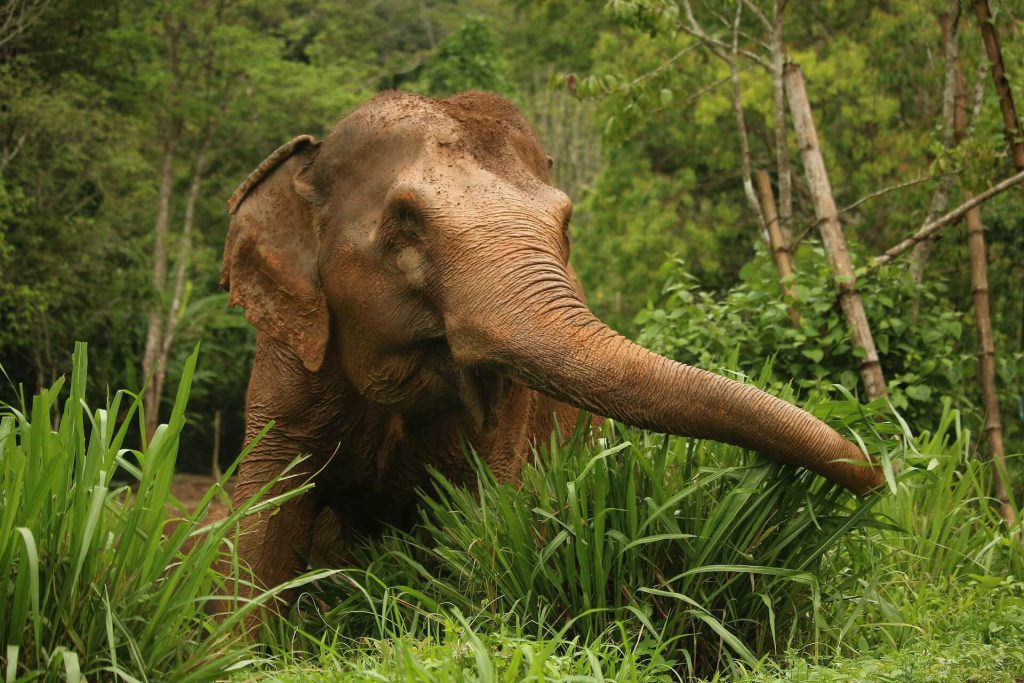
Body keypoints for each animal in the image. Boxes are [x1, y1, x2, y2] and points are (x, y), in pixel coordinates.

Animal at [222, 88, 880, 602]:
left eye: (565, 223)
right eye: (405, 222)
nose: (878, 478)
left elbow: (490, 508)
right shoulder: (291, 357)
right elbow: (264, 518)